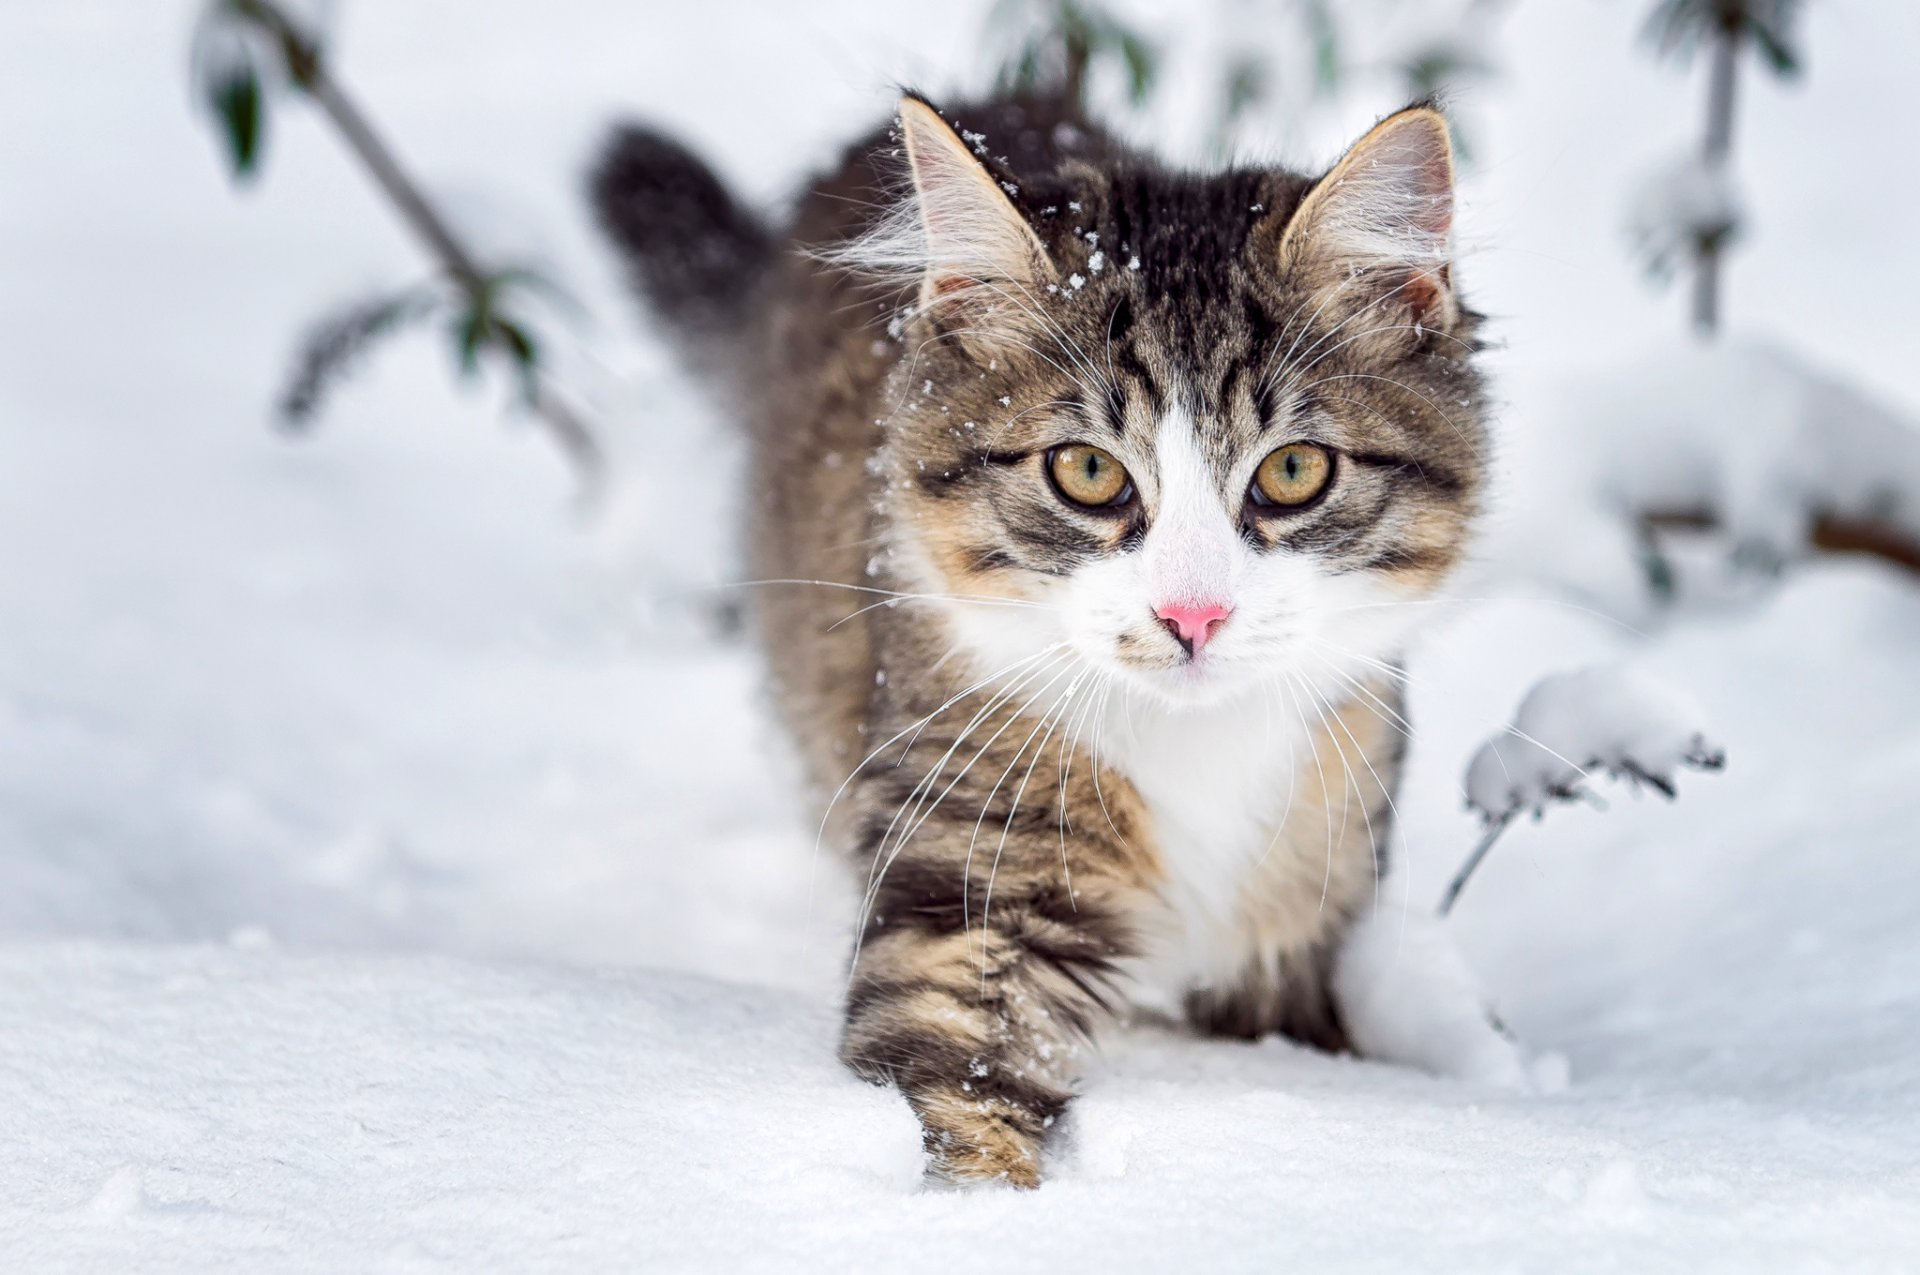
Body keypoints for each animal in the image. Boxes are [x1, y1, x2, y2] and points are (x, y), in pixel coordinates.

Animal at [591, 87, 1520, 1182]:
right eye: (1087, 471)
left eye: (1293, 472)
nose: (1193, 614)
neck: (1198, 750)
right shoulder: (972, 868)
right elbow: (956, 1084)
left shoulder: (1304, 910)